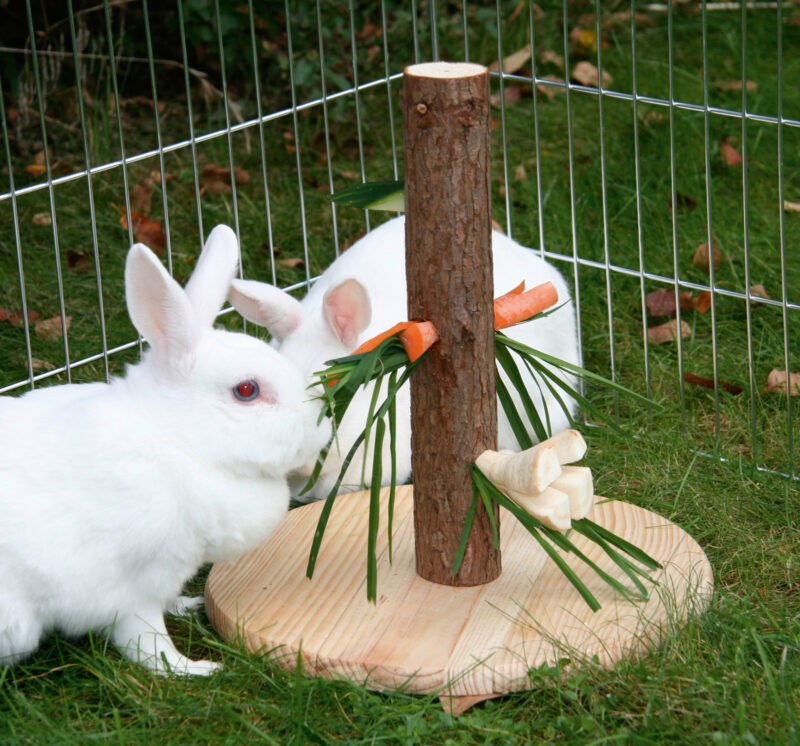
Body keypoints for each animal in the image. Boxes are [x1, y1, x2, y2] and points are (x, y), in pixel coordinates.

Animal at [0, 224, 332, 672]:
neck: (178, 442)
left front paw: (188, 605)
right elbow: (147, 642)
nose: (322, 430)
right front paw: (196, 669)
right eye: (247, 390)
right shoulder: (132, 589)